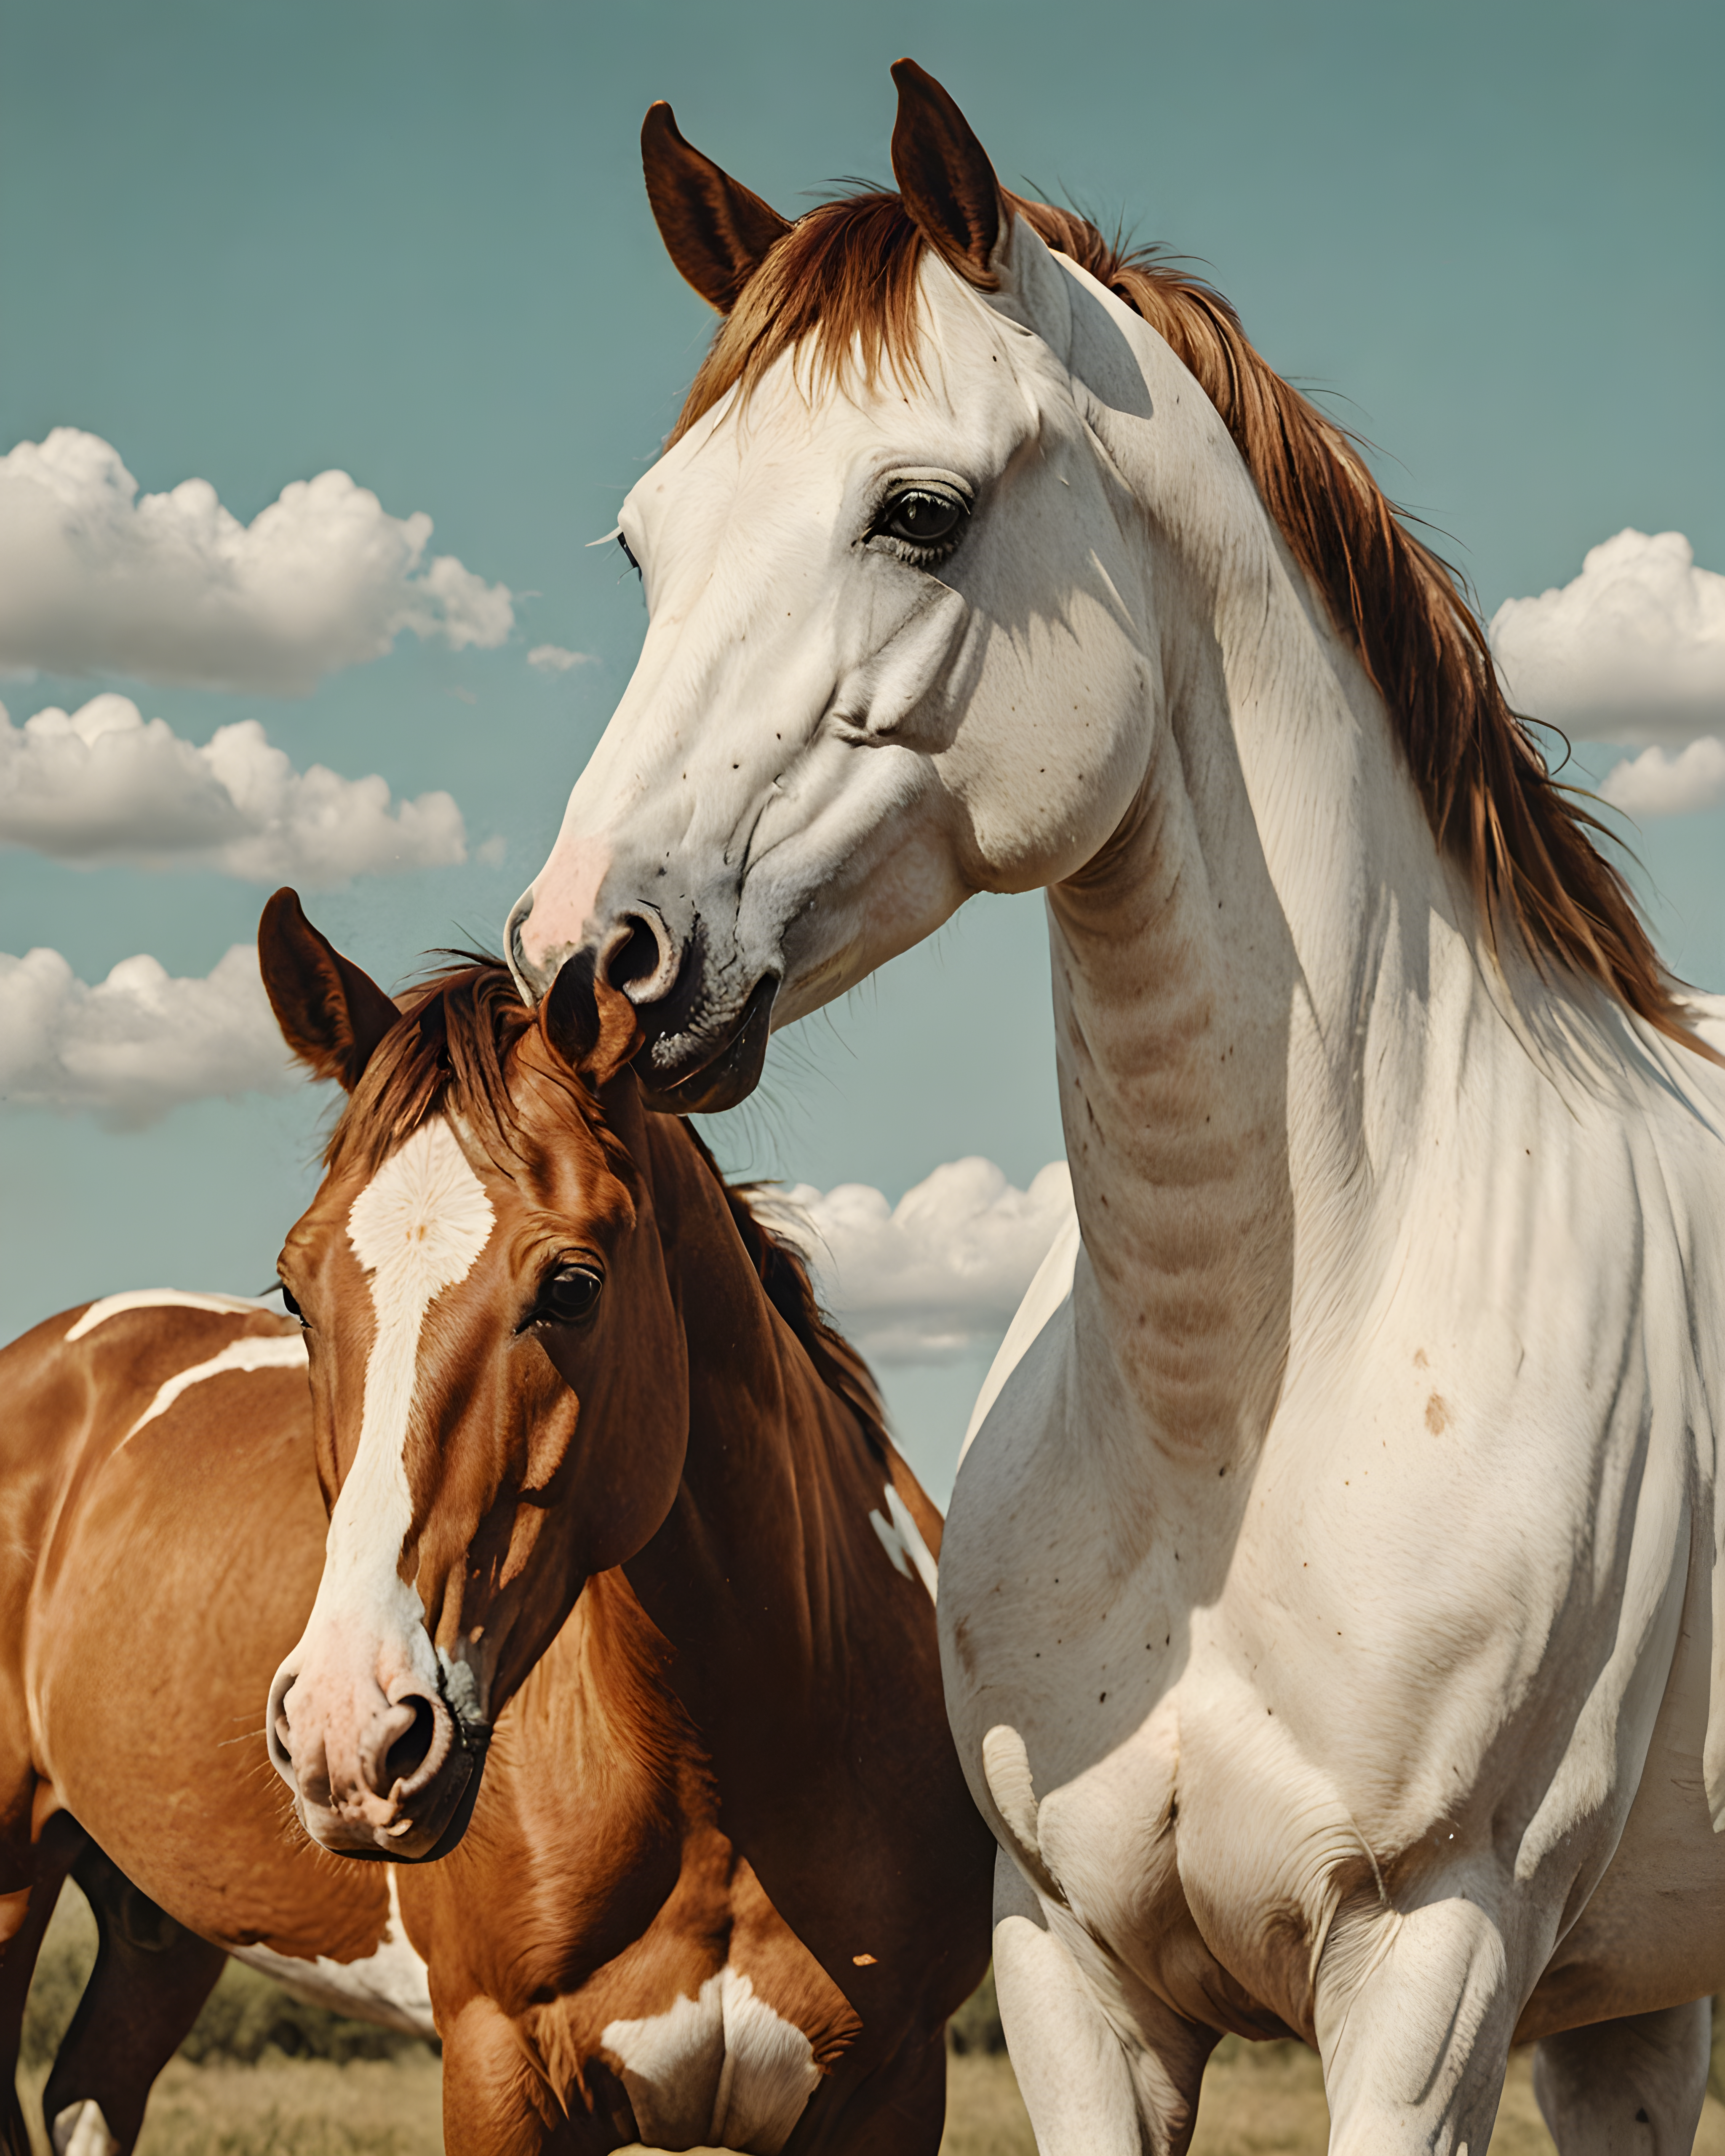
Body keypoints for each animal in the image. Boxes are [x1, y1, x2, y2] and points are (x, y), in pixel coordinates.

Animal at [0, 891, 992, 2155]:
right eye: (294, 1292)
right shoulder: (497, 2066)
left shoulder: (895, 2088)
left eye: (573, 1285)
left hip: (156, 1923)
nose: (349, 1734)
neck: (731, 1774)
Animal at [504, 58, 1725, 2156]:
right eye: (649, 543)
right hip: (1628, 1997)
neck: (1232, 1419)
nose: (587, 960)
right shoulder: (1077, 1969)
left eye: (919, 513)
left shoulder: (1430, 1964)